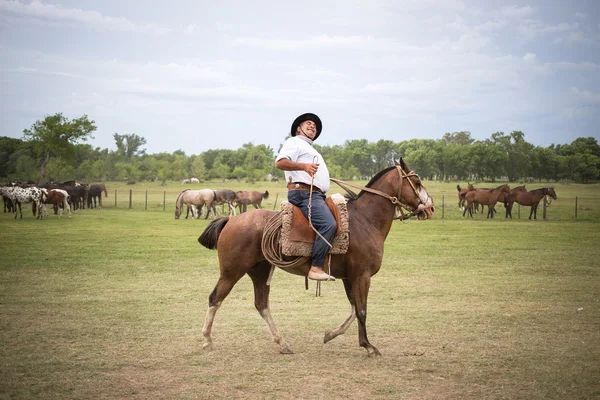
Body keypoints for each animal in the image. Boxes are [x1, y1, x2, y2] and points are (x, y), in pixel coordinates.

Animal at [199, 159, 434, 356]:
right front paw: (368, 346)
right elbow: (362, 310)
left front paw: (331, 334)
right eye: (417, 181)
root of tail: (230, 220)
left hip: (259, 271)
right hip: (231, 272)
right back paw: (207, 340)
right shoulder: (362, 276)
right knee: (215, 299)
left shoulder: (349, 277)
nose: (430, 207)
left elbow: (353, 308)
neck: (365, 220)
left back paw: (282, 343)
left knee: (261, 304)